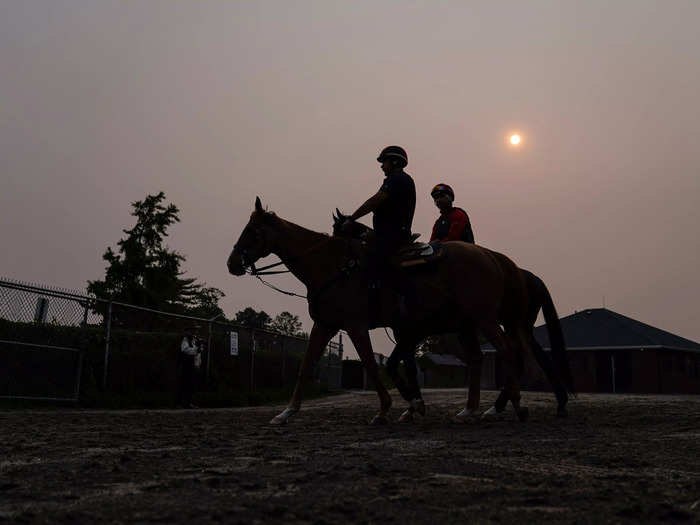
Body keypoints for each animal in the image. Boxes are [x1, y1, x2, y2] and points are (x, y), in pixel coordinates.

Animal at [228, 199, 532, 424]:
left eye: (251, 231)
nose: (232, 263)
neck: (334, 267)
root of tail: (490, 256)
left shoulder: (357, 325)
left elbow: (373, 365)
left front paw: (387, 407)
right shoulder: (326, 325)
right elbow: (306, 366)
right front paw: (286, 412)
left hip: (484, 318)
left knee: (507, 351)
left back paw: (511, 406)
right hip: (467, 323)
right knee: (480, 358)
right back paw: (474, 408)